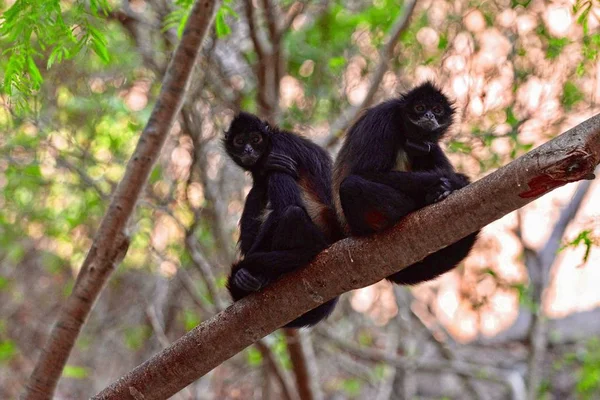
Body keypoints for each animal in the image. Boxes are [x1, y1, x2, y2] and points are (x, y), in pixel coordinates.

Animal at [223, 111, 342, 326]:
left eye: (256, 139)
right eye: (239, 141)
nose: (248, 149)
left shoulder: (280, 150)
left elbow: (285, 205)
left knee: (291, 212)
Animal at [332, 81, 478, 284]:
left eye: (437, 110)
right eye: (420, 108)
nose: (429, 115)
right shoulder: (382, 119)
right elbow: (362, 173)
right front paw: (452, 181)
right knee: (350, 185)